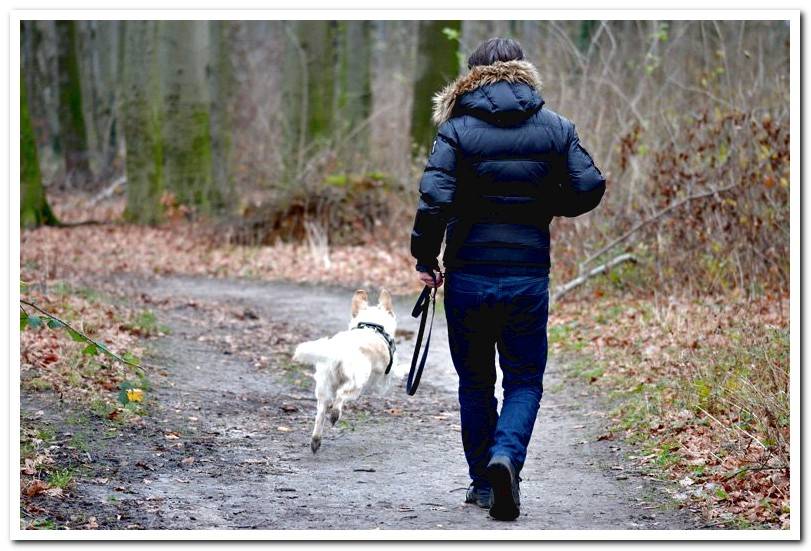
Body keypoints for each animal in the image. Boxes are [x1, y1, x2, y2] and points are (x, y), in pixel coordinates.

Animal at [292, 288, 406, 452]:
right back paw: (335, 415)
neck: (373, 326)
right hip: (356, 384)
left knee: (320, 414)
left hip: (324, 387)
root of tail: (337, 352)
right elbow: (397, 372)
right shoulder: (385, 380)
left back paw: (316, 440)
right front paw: (406, 369)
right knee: (340, 397)